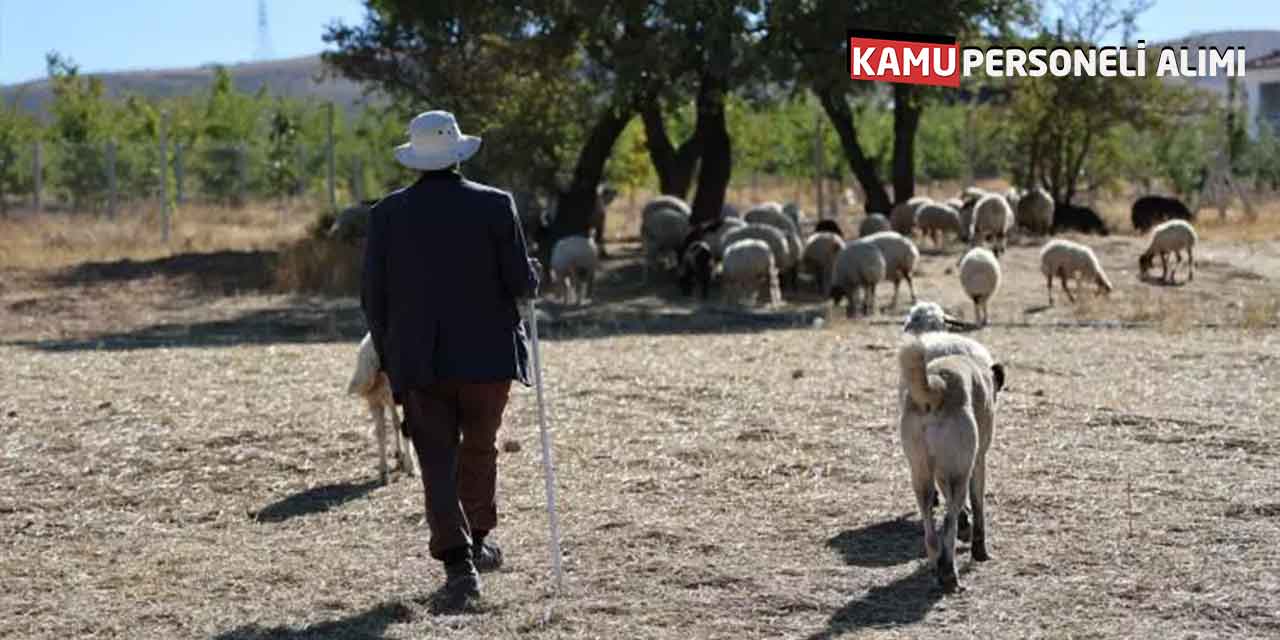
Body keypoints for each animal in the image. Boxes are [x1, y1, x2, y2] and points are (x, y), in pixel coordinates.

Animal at [896, 332, 993, 591]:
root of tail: (937, 384)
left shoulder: (941, 472)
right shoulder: (976, 463)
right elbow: (978, 506)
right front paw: (979, 550)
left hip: (920, 474)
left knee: (930, 527)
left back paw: (935, 567)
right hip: (960, 474)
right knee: (949, 523)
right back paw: (949, 573)